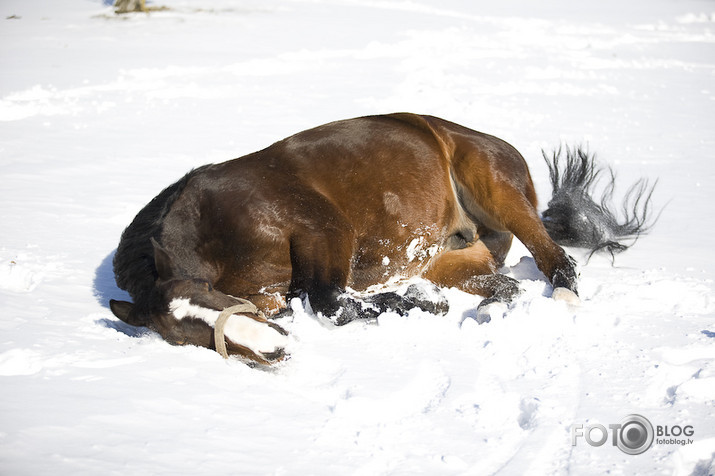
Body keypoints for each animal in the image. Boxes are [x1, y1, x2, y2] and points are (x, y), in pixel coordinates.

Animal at [107, 112, 656, 364]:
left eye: (210, 298)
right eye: (186, 337)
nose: (273, 347)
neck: (221, 231)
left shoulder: (324, 229)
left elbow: (328, 300)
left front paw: (416, 305)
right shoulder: (275, 294)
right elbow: (325, 301)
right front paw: (417, 302)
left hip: (498, 191)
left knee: (554, 258)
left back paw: (562, 297)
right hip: (448, 258)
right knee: (506, 286)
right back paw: (479, 310)